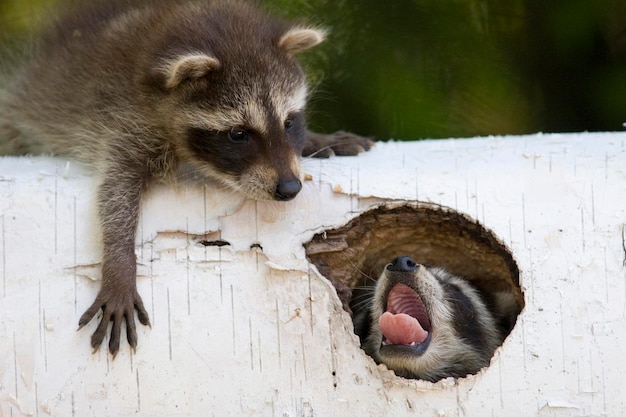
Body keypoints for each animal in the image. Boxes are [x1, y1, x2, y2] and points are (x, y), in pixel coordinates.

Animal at [0, 0, 370, 358]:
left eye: (289, 122)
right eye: (238, 134)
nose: (290, 188)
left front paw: (315, 140)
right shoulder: (121, 121)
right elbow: (115, 195)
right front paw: (119, 264)